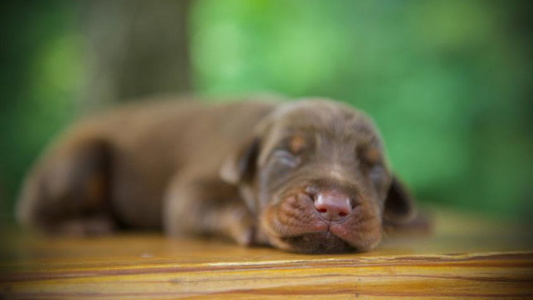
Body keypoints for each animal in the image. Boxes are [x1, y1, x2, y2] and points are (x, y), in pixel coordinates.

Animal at [16, 98, 416, 253]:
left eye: (375, 167)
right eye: (285, 154)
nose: (333, 206)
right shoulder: (189, 189)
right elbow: (209, 204)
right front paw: (251, 222)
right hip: (82, 160)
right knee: (38, 214)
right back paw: (82, 223)